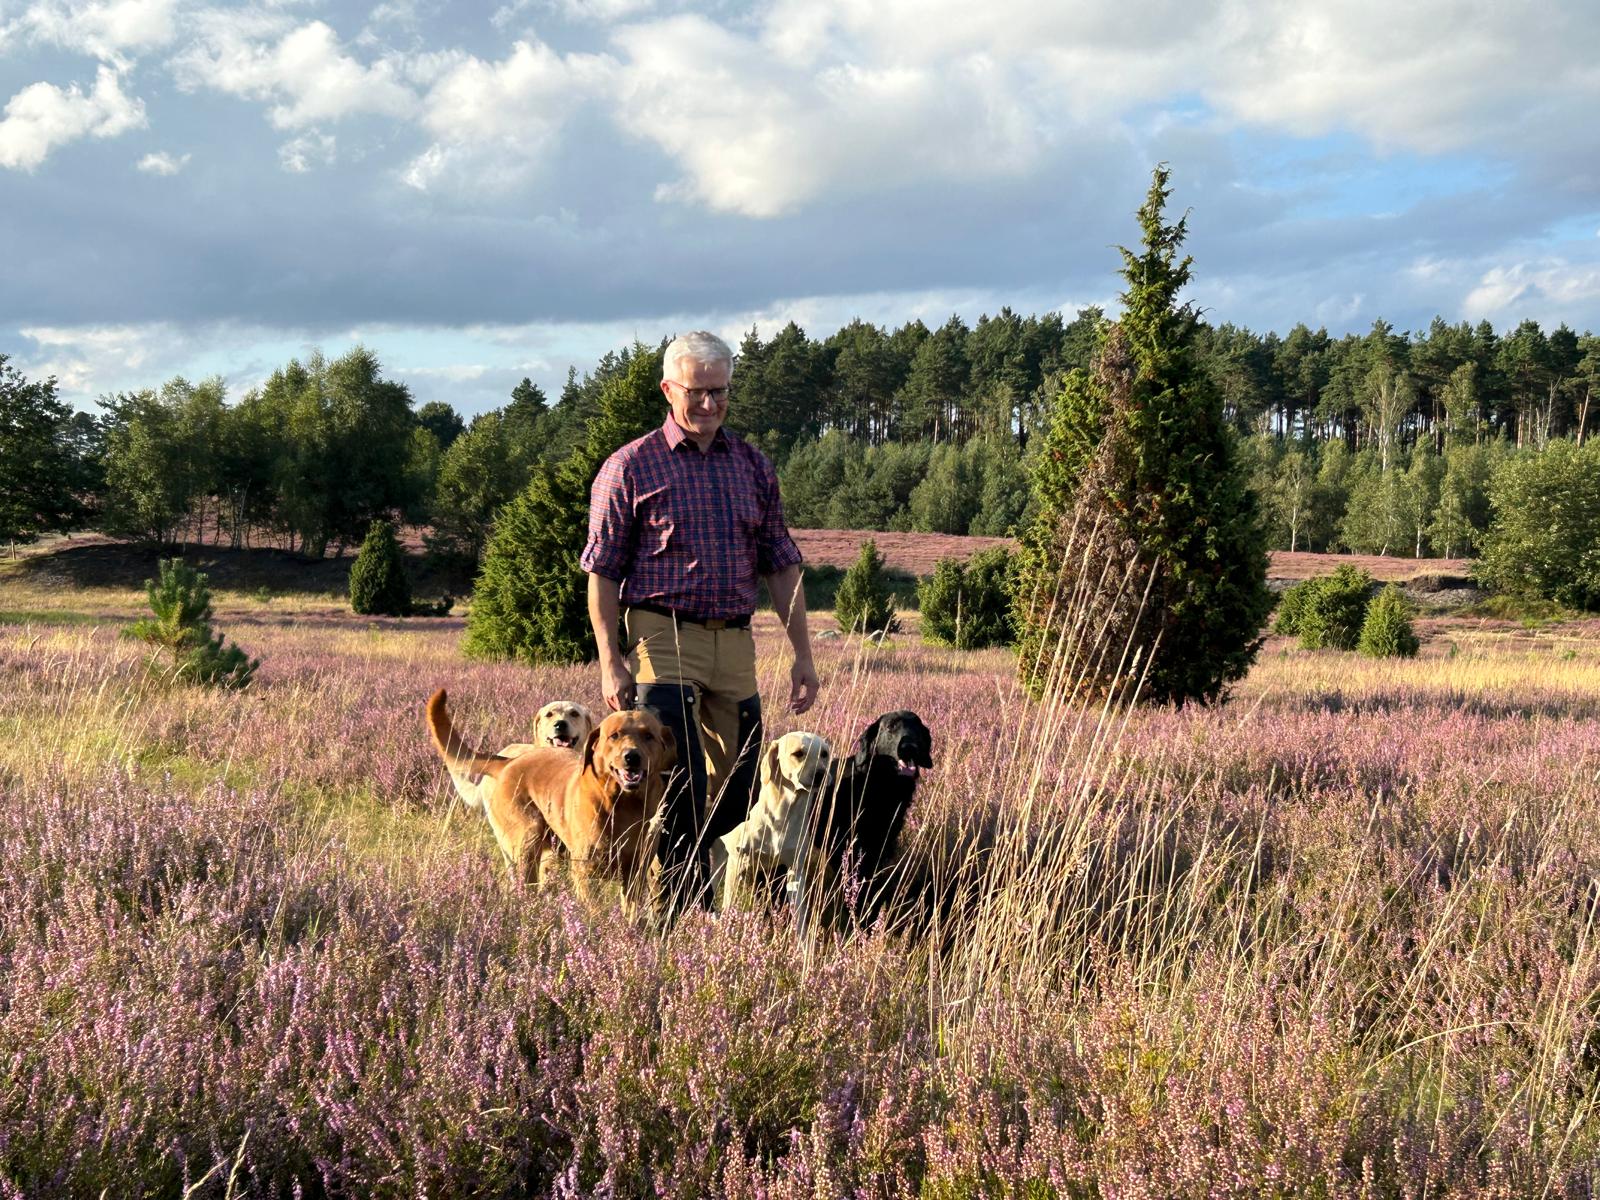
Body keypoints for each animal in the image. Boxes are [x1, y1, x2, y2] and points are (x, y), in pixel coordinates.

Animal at [713, 732, 838, 908]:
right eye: (798, 753)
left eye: (824, 754)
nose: (821, 774)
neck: (782, 816)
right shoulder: (736, 863)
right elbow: (728, 906)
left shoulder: (795, 870)